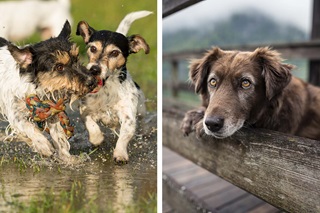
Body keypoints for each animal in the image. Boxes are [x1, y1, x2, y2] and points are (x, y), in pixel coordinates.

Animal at [0, 20, 97, 162]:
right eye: (59, 67)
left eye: (76, 58)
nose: (92, 82)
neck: (33, 85)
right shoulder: (15, 112)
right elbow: (27, 126)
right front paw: (43, 145)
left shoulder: (52, 110)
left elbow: (59, 136)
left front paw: (68, 159)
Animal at [75, 10, 152, 163]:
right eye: (93, 48)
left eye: (114, 53)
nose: (94, 69)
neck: (107, 89)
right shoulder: (85, 110)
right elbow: (91, 125)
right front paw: (97, 139)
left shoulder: (128, 118)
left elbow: (124, 137)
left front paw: (120, 154)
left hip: (141, 109)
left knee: (143, 119)